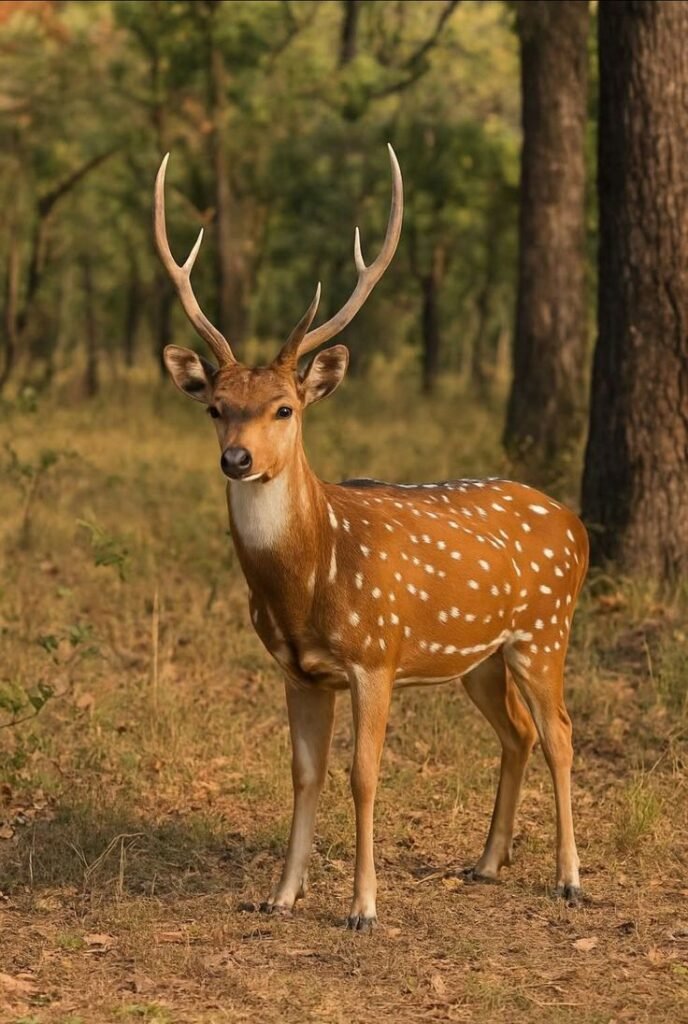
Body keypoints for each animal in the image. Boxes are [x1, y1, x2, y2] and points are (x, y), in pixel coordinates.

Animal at [154, 147, 589, 932]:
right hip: (478, 654)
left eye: (285, 407)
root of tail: (576, 525)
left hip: (545, 631)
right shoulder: (296, 668)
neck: (310, 582)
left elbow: (363, 775)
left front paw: (363, 907)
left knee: (562, 733)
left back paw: (570, 879)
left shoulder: (375, 655)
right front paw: (281, 894)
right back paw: (485, 863)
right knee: (517, 732)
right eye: (215, 407)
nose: (238, 459)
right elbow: (304, 774)